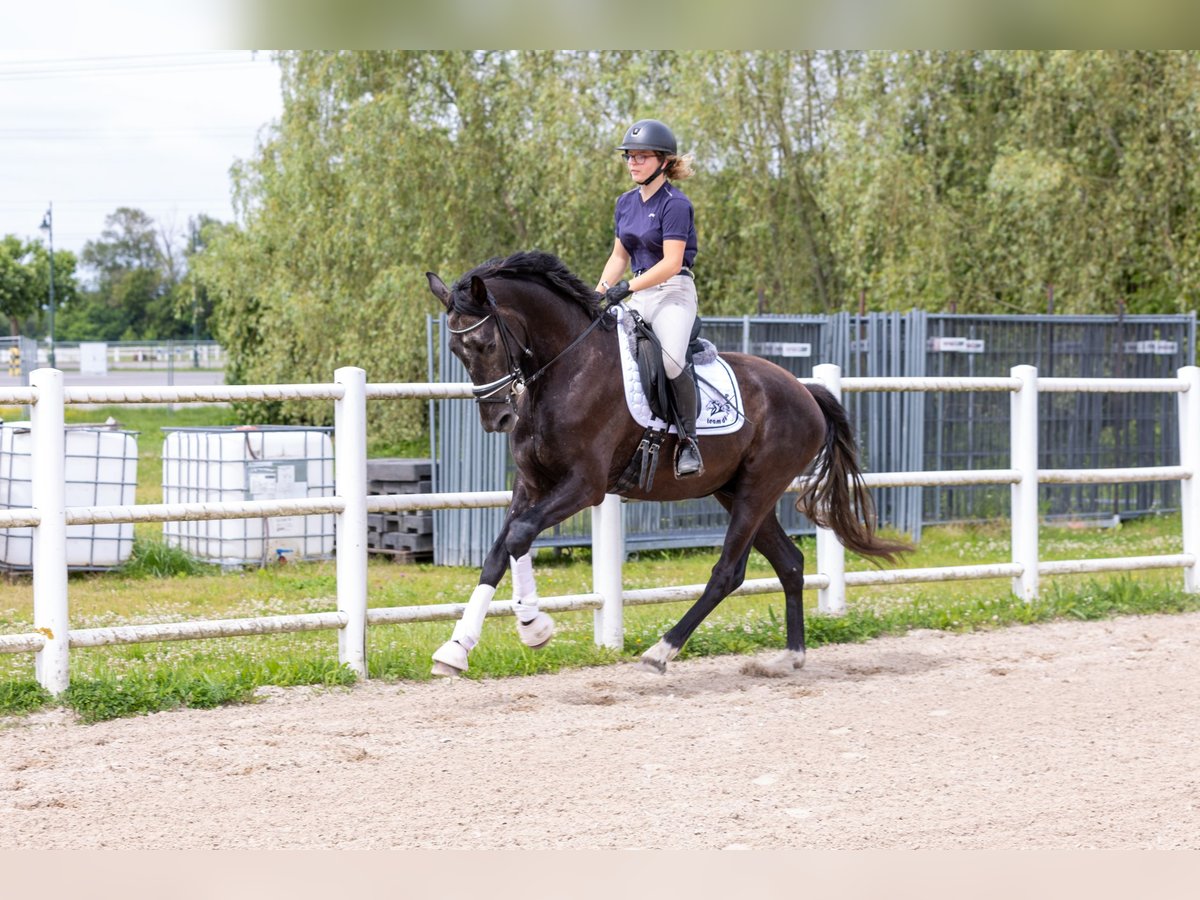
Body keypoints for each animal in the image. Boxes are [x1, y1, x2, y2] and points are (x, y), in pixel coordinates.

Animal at [427, 252, 902, 676]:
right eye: (455, 349)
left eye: (485, 344)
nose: (497, 420)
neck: (569, 367)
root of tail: (806, 391)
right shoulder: (531, 484)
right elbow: (501, 550)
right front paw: (457, 647)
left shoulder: (584, 486)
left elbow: (519, 536)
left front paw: (533, 626)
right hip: (736, 492)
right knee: (789, 563)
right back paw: (790, 657)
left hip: (759, 490)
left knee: (727, 573)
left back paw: (662, 650)